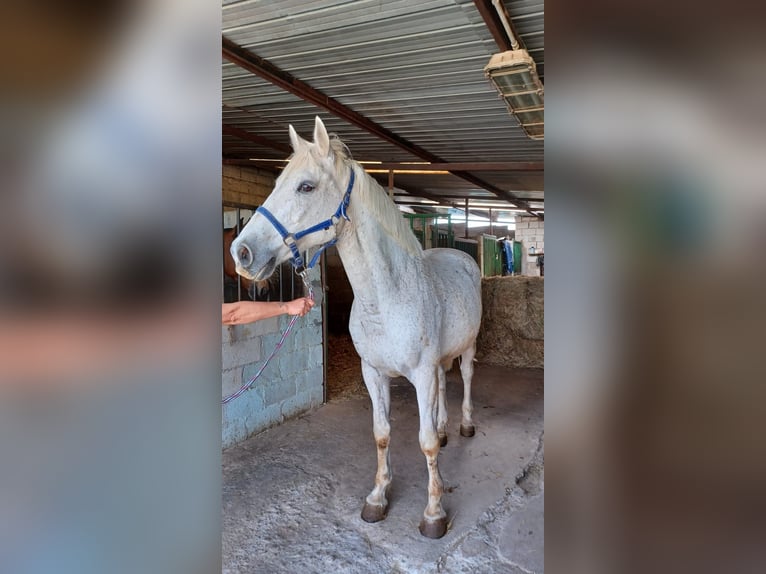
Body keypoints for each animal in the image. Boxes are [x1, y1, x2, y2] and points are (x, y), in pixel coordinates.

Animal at [231, 117, 484, 540]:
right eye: (277, 181)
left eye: (305, 186)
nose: (241, 253)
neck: (386, 298)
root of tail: (459, 255)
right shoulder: (373, 373)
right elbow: (382, 433)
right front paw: (378, 498)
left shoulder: (420, 372)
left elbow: (426, 443)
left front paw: (433, 514)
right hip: (437, 363)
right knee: (443, 387)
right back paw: (447, 428)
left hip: (467, 347)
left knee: (464, 378)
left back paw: (464, 426)